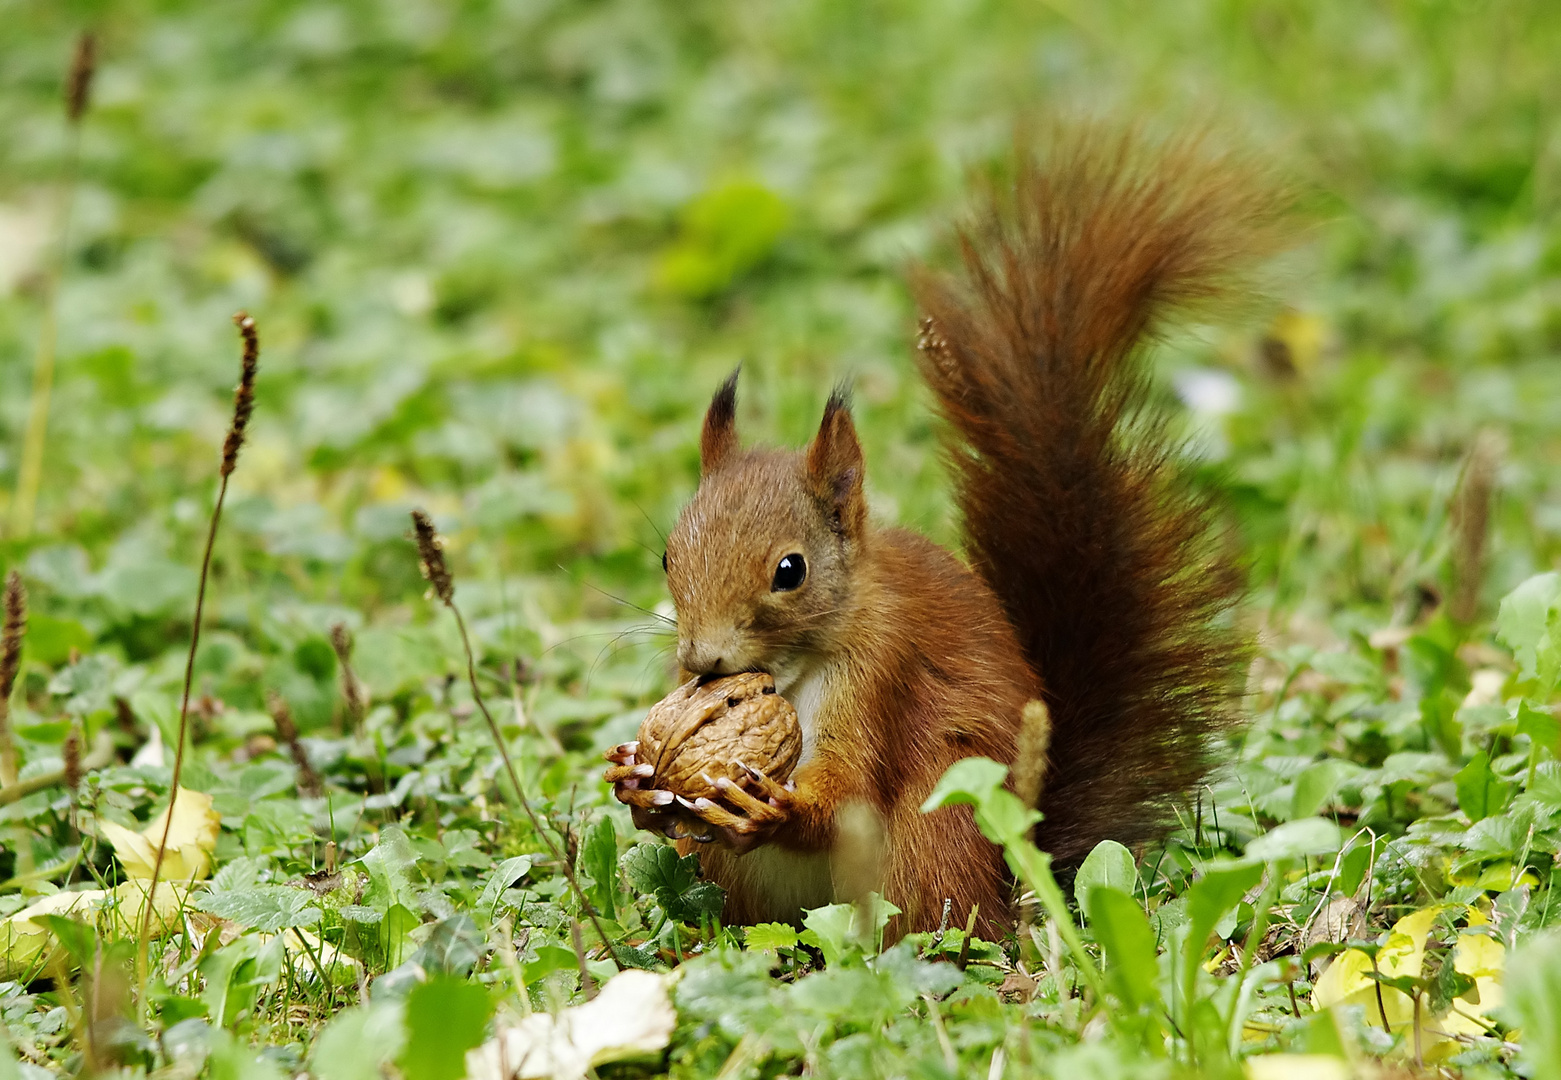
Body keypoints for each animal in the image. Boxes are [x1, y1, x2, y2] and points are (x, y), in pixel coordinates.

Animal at [602, 124, 1286, 936]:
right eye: (667, 557)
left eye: (790, 571)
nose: (702, 663)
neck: (793, 671)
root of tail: (1015, 873)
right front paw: (635, 777)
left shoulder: (880, 675)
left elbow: (846, 791)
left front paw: (770, 809)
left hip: (933, 839)